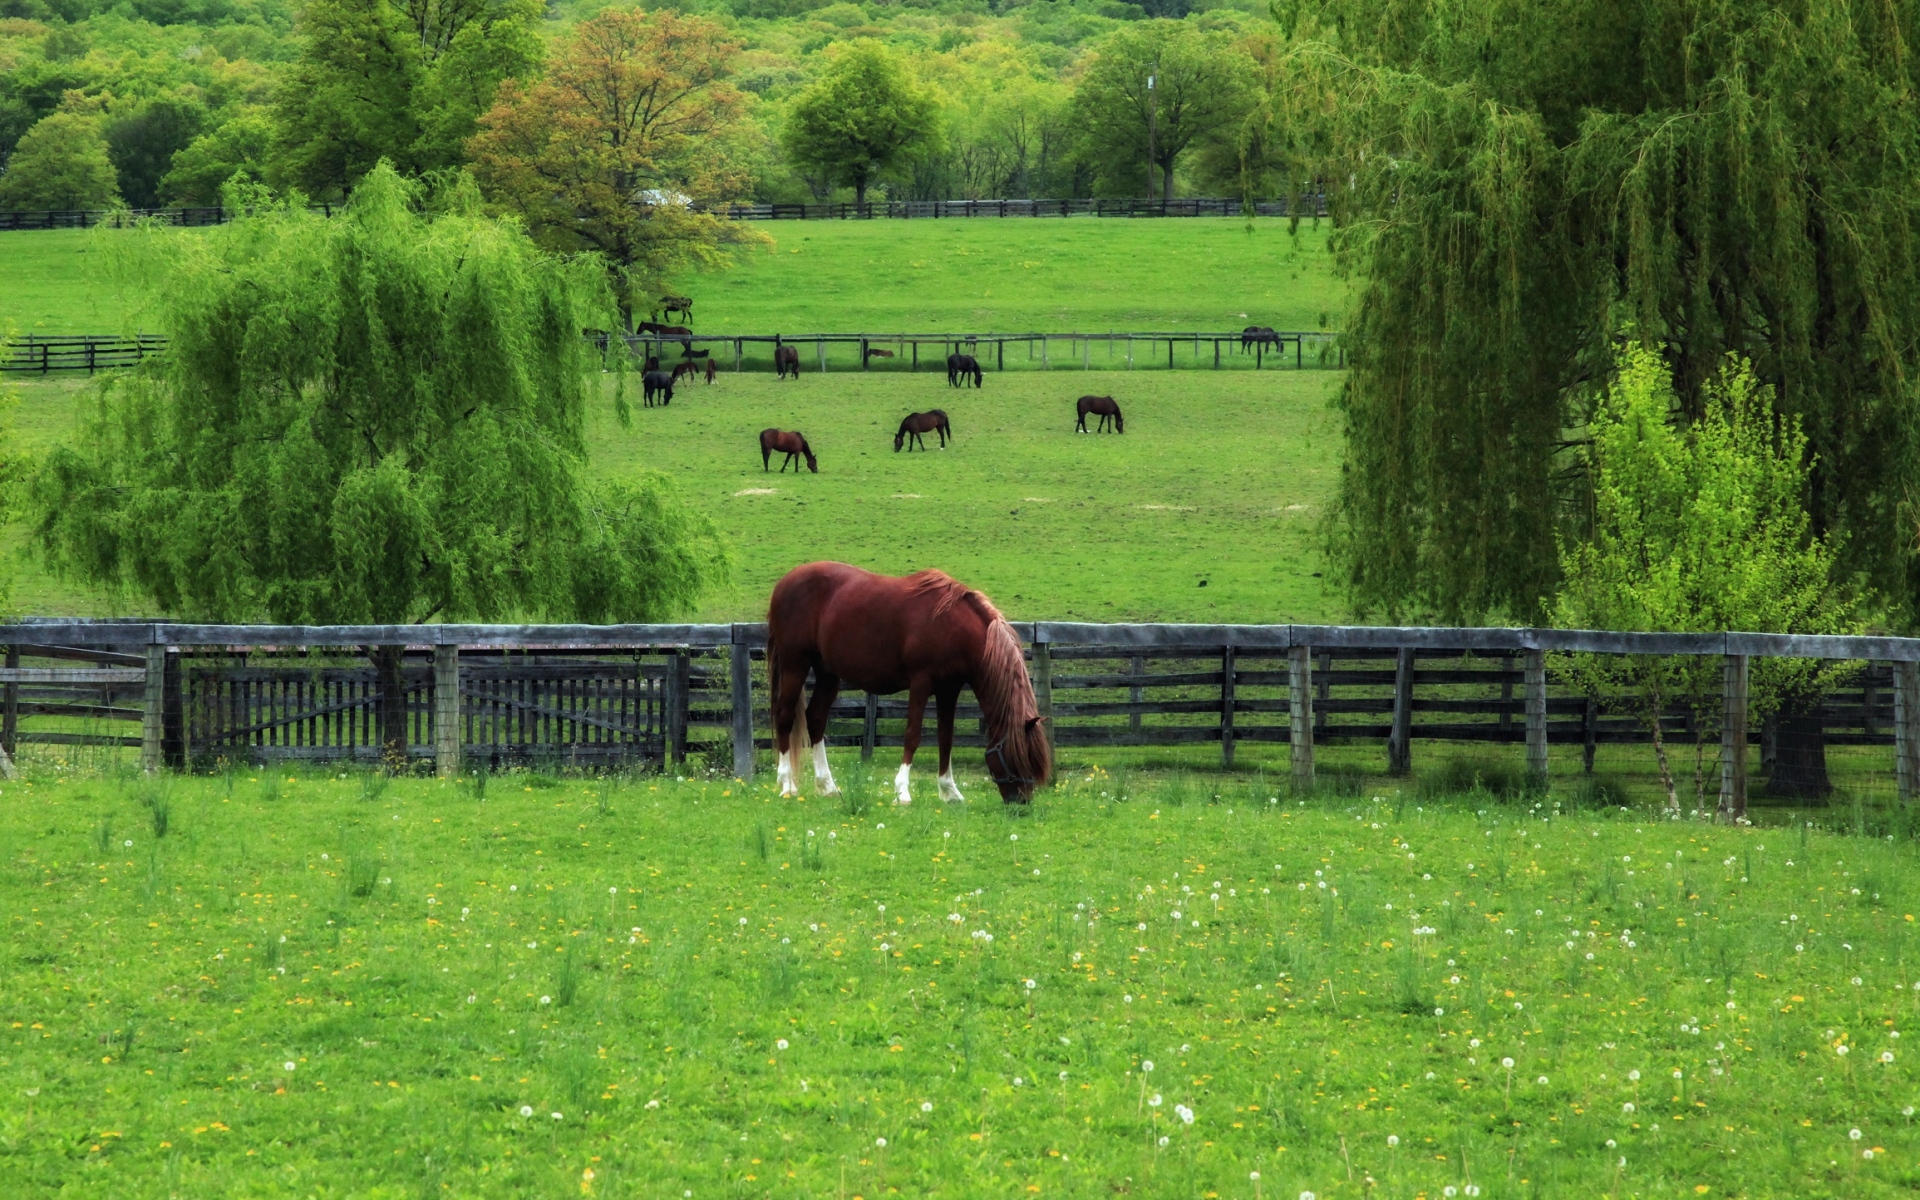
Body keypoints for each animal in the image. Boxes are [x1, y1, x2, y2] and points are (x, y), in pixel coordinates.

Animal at [766, 562, 1052, 805]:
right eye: (1021, 757)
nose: (1021, 802)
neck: (951, 625)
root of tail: (784, 582)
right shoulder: (921, 682)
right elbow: (913, 734)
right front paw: (902, 792)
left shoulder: (949, 689)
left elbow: (946, 737)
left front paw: (949, 791)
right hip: (795, 664)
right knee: (784, 716)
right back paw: (787, 785)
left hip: (827, 673)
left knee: (815, 718)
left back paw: (828, 787)